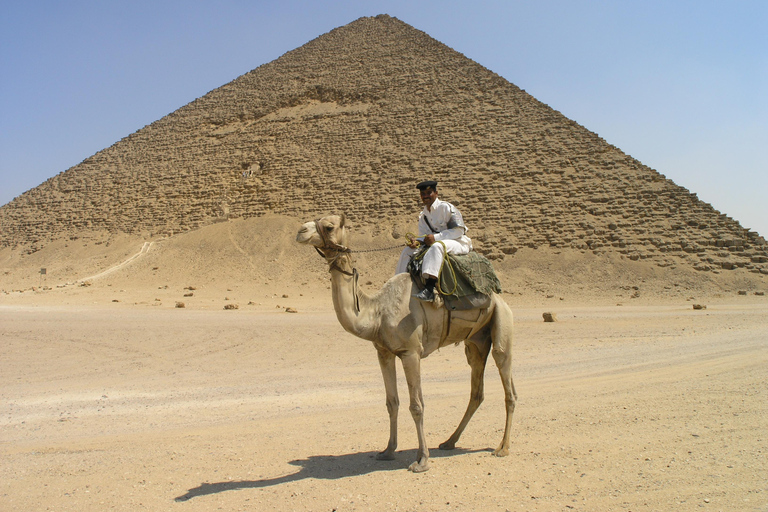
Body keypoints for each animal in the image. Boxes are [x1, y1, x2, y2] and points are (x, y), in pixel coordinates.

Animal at [294, 213, 516, 472]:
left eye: (329, 227)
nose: (301, 231)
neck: (377, 312)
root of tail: (498, 295)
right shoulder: (384, 353)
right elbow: (392, 402)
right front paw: (388, 450)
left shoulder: (411, 353)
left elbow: (417, 405)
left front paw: (422, 460)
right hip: (476, 342)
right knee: (476, 390)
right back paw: (449, 442)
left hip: (501, 321)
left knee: (507, 382)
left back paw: (502, 448)